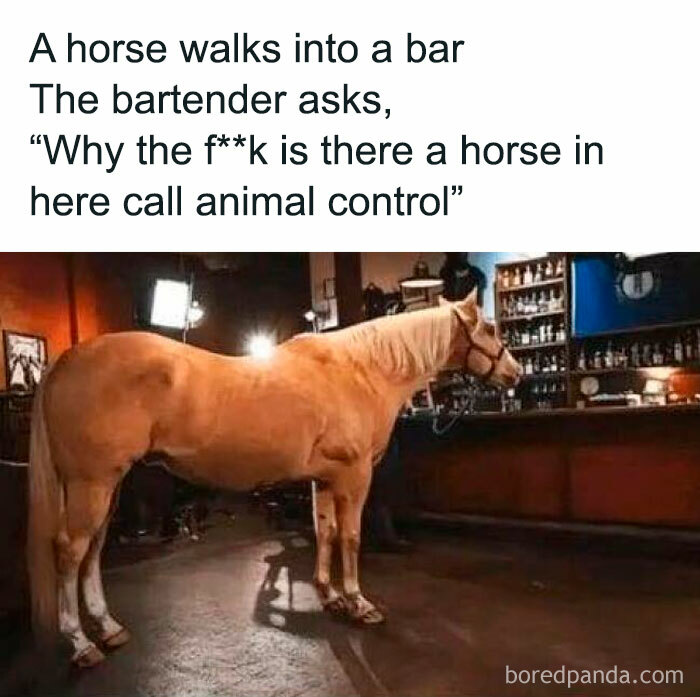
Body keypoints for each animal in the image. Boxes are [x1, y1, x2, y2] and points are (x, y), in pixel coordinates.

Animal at [27, 289, 522, 668]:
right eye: (489, 329)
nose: (516, 373)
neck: (360, 371)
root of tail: (66, 361)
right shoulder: (355, 476)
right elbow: (351, 537)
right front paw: (359, 603)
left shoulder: (326, 479)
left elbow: (325, 532)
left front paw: (330, 596)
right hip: (92, 484)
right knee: (70, 552)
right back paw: (81, 644)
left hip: (106, 488)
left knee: (93, 551)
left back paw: (108, 628)